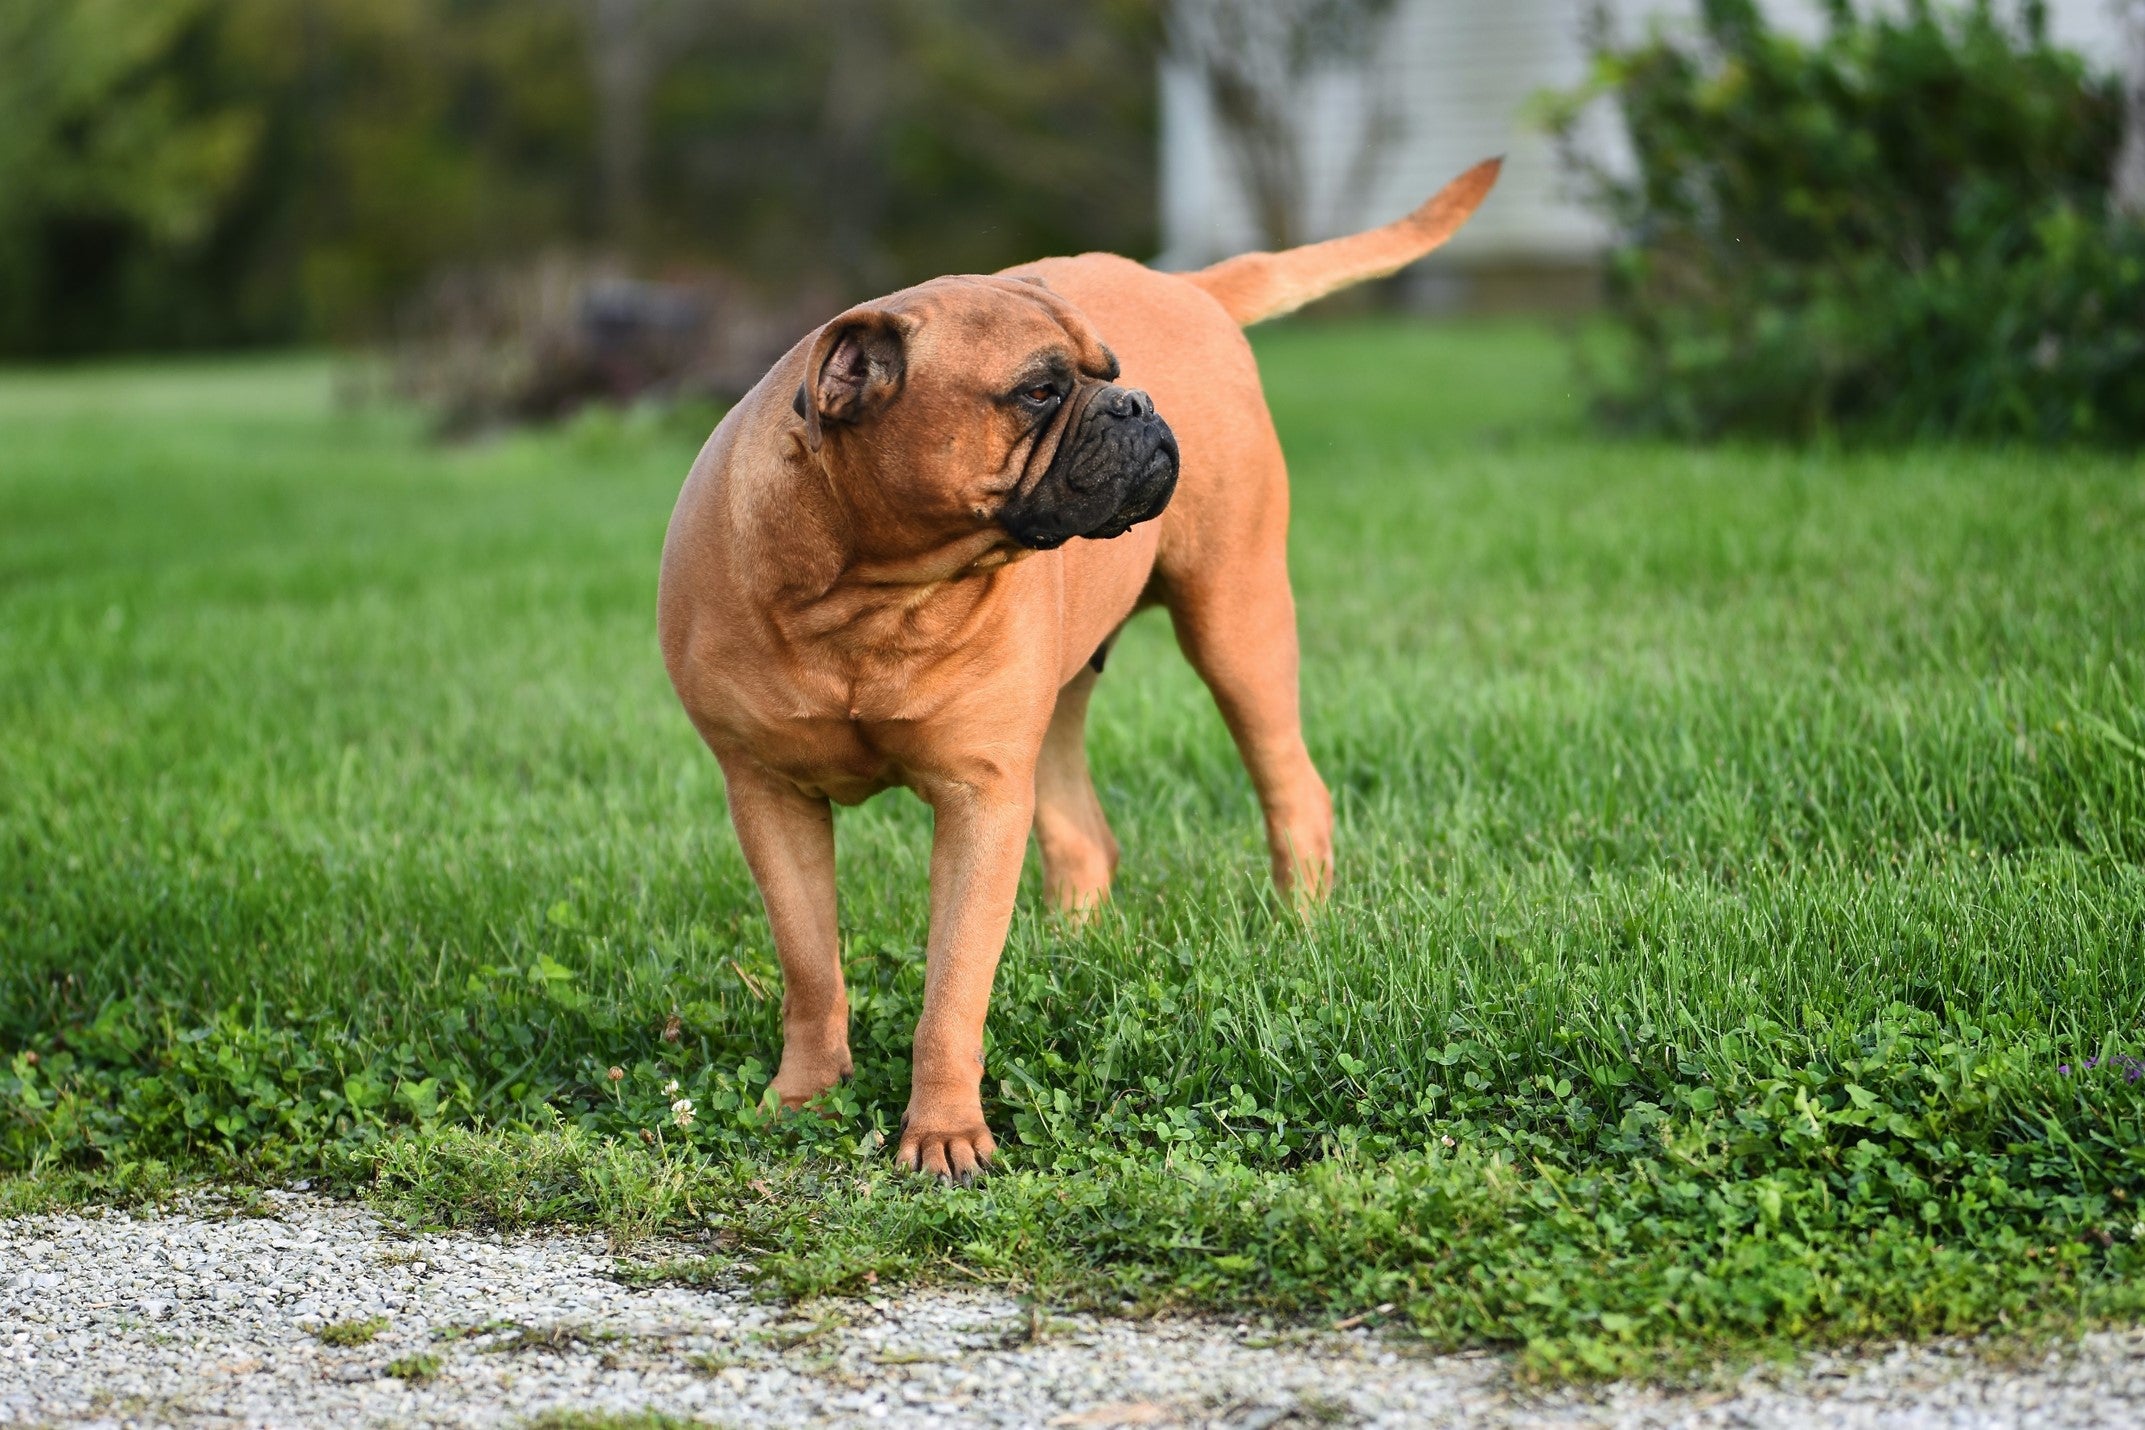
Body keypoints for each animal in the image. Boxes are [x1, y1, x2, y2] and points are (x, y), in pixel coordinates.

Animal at [660, 159, 1501, 1183]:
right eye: (1037, 390)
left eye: (1109, 374)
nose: (1137, 404)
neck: (868, 588)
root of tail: (1190, 286)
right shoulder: (769, 795)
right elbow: (811, 964)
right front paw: (802, 1098)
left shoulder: (978, 799)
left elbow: (952, 989)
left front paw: (943, 1132)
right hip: (1061, 704)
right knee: (1081, 836)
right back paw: (1067, 954)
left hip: (1238, 623)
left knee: (1292, 788)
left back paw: (1297, 929)